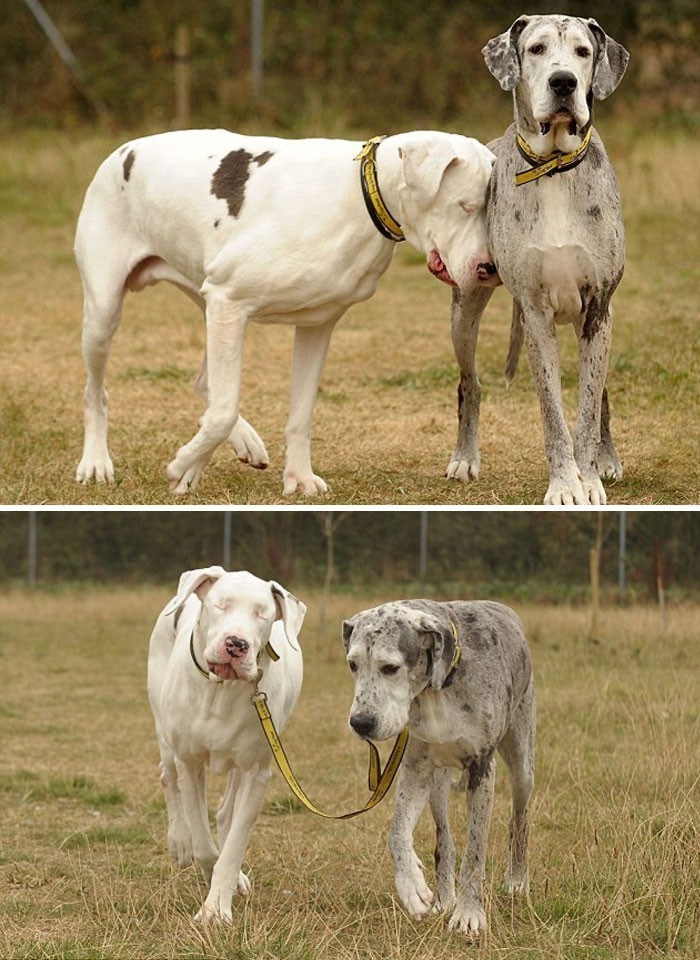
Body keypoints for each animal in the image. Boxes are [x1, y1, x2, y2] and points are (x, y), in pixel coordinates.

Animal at [75, 129, 498, 496]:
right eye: (465, 207)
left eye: (489, 212)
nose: (489, 269)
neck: (359, 195)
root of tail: (123, 150)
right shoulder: (230, 303)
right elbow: (223, 411)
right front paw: (183, 465)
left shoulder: (315, 325)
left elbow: (300, 415)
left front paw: (298, 477)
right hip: (106, 314)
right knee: (97, 393)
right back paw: (96, 462)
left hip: (206, 301)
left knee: (205, 381)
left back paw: (243, 442)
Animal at [146, 568, 304, 920]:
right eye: (221, 605)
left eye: (262, 614)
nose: (237, 644)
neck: (221, 690)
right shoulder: (190, 762)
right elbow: (204, 845)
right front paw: (207, 875)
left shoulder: (256, 772)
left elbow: (233, 845)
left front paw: (217, 907)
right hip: (165, 733)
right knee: (166, 776)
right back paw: (179, 841)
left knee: (224, 812)